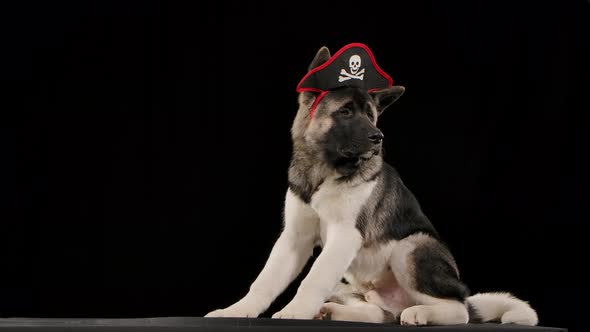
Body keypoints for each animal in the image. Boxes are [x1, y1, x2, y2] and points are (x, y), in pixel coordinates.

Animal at [206, 44, 540, 326]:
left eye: (371, 115)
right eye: (345, 112)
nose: (378, 138)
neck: (324, 169)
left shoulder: (345, 236)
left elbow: (312, 278)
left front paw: (295, 311)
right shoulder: (294, 239)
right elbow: (266, 280)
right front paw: (238, 310)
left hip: (410, 248)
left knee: (459, 310)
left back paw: (420, 312)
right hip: (350, 283)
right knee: (378, 313)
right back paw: (334, 311)